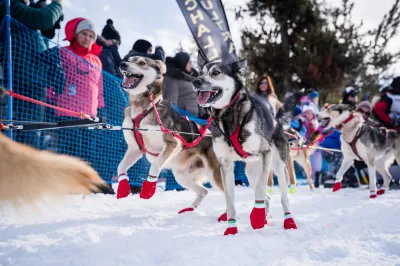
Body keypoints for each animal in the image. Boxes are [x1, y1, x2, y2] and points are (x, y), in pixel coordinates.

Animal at [115, 55, 223, 212]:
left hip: (215, 174)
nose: (123, 63)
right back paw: (189, 209)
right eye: (129, 59)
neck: (144, 108)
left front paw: (148, 188)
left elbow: (155, 165)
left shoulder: (172, 143)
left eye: (142, 62)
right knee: (204, 191)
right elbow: (121, 167)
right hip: (181, 176)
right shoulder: (135, 149)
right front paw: (123, 186)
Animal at [192, 55, 298, 235]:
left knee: (283, 198)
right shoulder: (226, 166)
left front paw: (257, 217)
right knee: (267, 198)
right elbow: (229, 201)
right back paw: (264, 221)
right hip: (250, 172)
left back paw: (288, 221)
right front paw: (231, 228)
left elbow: (261, 189)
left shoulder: (265, 153)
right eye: (200, 72)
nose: (196, 81)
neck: (228, 115)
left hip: (278, 167)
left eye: (216, 72)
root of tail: (276, 121)